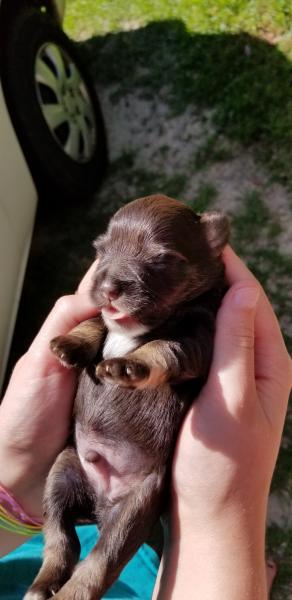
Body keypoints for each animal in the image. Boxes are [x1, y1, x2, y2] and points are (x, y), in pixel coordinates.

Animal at [25, 195, 229, 600]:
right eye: (100, 251)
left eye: (162, 259)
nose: (107, 287)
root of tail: (101, 507)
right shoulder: (103, 319)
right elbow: (94, 323)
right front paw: (68, 345)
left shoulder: (198, 338)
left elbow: (163, 349)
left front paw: (126, 366)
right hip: (62, 471)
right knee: (60, 539)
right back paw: (42, 584)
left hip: (137, 507)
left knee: (99, 560)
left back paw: (69, 592)